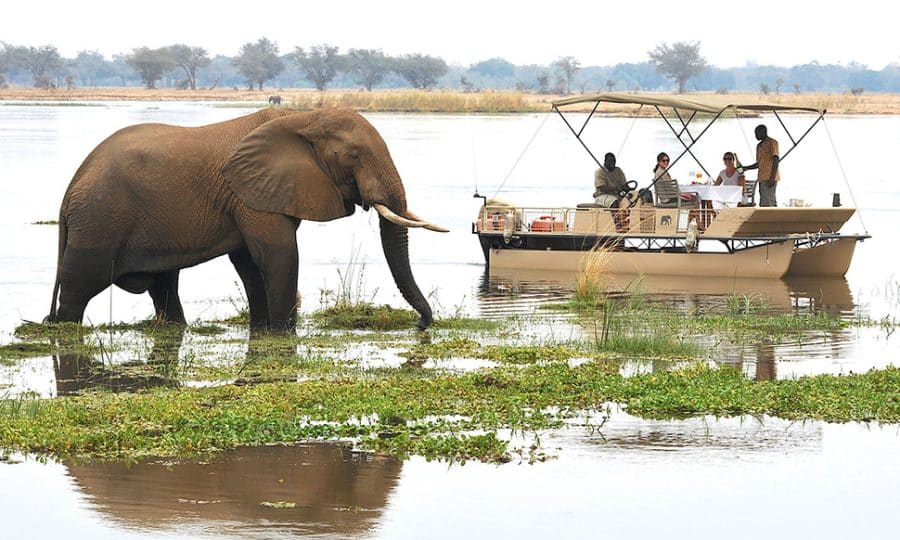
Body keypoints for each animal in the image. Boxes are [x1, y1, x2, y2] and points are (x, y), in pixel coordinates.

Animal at [46, 108, 446, 332]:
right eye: (354, 155)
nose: (421, 324)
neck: (301, 117)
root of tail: (70, 187)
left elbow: (250, 262)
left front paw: (265, 329)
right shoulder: (249, 192)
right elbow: (278, 254)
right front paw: (282, 333)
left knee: (163, 285)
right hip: (98, 221)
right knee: (78, 290)